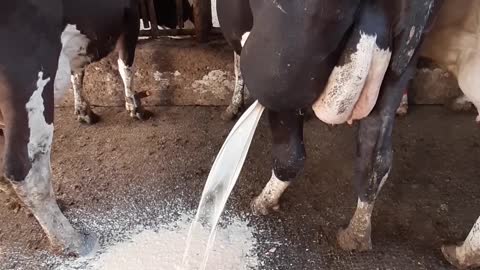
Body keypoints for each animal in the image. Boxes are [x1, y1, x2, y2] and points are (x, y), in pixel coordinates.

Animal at [0, 0, 191, 254]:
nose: (187, 13)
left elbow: (77, 73)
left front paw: (84, 111)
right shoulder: (129, 17)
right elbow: (125, 65)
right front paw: (134, 107)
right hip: (31, 83)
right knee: (24, 170)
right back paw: (72, 241)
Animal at [218, 0, 442, 251]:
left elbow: (237, 63)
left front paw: (233, 106)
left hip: (281, 71)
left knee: (291, 155)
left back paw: (262, 203)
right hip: (401, 66)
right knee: (376, 158)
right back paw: (355, 235)